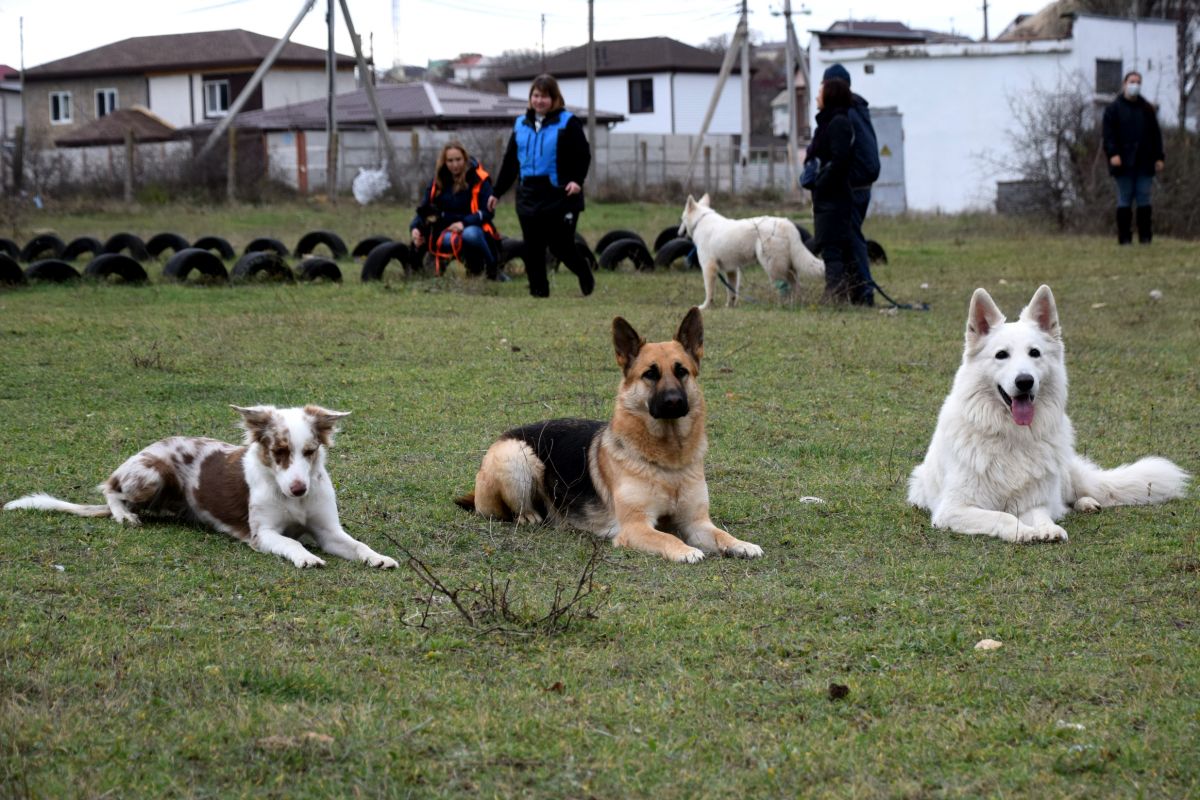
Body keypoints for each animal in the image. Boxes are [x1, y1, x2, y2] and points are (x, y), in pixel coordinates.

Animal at [4, 407, 398, 568]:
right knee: (110, 490)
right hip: (150, 474)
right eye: (279, 452)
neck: (292, 499)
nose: (299, 489)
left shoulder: (329, 532)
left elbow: (358, 545)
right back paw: (124, 516)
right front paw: (305, 557)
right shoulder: (263, 535)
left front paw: (378, 558)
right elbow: (290, 542)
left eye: (310, 452)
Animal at [453, 307, 763, 563]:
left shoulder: (697, 523)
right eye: (650, 374)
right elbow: (666, 536)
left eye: (682, 371)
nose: (674, 401)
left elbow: (721, 534)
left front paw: (742, 544)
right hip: (517, 457)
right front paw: (685, 550)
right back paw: (531, 516)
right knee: (513, 510)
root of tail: (504, 436)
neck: (668, 461)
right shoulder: (635, 526)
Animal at [676, 194, 825, 309]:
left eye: (682, 219)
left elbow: (709, 291)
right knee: (795, 283)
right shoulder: (732, 270)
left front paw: (705, 306)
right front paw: (730, 306)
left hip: (772, 266)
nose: (678, 233)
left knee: (785, 286)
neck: (701, 221)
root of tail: (786, 224)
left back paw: (783, 304)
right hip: (785, 265)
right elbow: (731, 291)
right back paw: (796, 302)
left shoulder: (709, 268)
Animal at [912, 284, 1185, 542]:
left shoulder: (1033, 500)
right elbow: (1002, 516)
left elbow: (1041, 514)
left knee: (1071, 496)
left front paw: (1047, 529)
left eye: (1034, 353)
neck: (1013, 437)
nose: (1025, 381)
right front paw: (1023, 532)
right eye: (1001, 355)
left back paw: (1086, 503)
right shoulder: (953, 509)